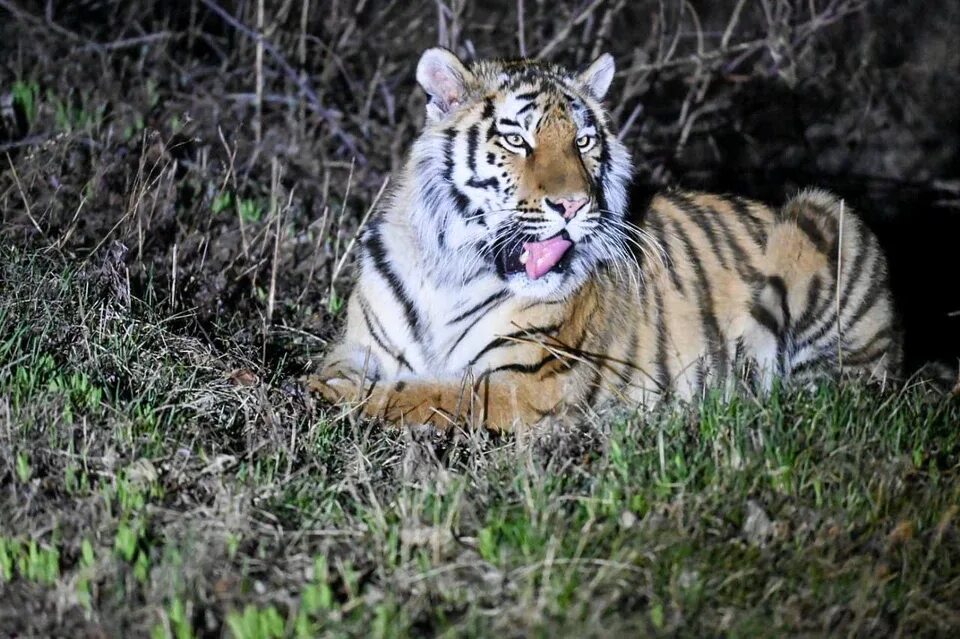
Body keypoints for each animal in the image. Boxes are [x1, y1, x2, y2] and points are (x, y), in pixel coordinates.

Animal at [306, 48, 900, 430]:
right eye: (517, 140)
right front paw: (316, 387)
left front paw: (329, 398)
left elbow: (427, 395)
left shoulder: (526, 382)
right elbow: (344, 372)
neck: (449, 269)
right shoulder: (357, 347)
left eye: (584, 141)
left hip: (824, 212)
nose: (573, 205)